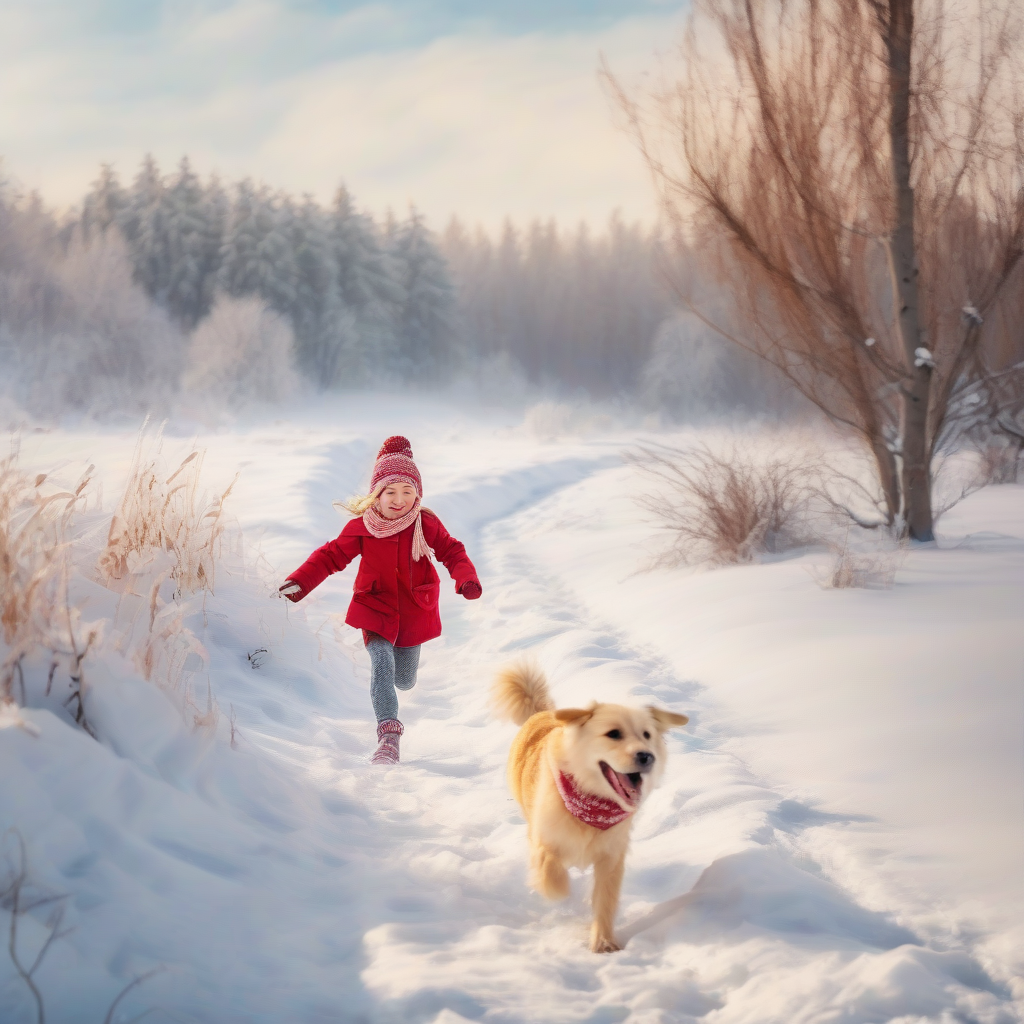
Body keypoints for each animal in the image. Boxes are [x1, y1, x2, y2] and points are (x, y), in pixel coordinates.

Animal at [493, 663, 688, 950]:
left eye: (647, 735)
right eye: (614, 734)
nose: (647, 756)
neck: (592, 799)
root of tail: (541, 713)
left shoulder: (612, 857)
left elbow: (605, 900)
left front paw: (604, 942)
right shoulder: (546, 840)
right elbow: (551, 873)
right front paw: (559, 891)